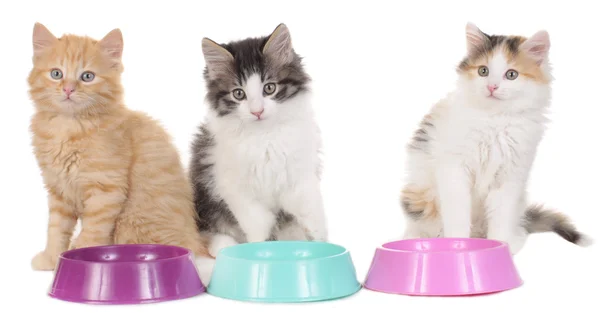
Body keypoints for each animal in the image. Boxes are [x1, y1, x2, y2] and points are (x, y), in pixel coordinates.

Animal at [28, 23, 211, 270]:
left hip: (131, 223)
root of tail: (196, 240)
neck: (69, 126)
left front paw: (83, 256)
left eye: (87, 76)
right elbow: (56, 229)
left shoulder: (106, 188)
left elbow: (93, 231)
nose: (68, 89)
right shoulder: (58, 190)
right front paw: (51, 258)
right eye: (56, 74)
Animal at [191, 23, 328, 282]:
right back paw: (222, 245)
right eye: (238, 94)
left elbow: (312, 217)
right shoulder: (235, 190)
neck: (265, 136)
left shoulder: (300, 179)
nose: (257, 111)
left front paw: (322, 249)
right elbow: (257, 227)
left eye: (269, 88)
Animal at [398, 22, 592, 254]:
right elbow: (458, 216)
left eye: (511, 74)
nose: (492, 86)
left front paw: (501, 248)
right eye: (483, 71)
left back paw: (512, 240)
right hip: (419, 194)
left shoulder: (509, 177)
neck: (495, 120)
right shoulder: (455, 170)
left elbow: (500, 218)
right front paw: (456, 246)